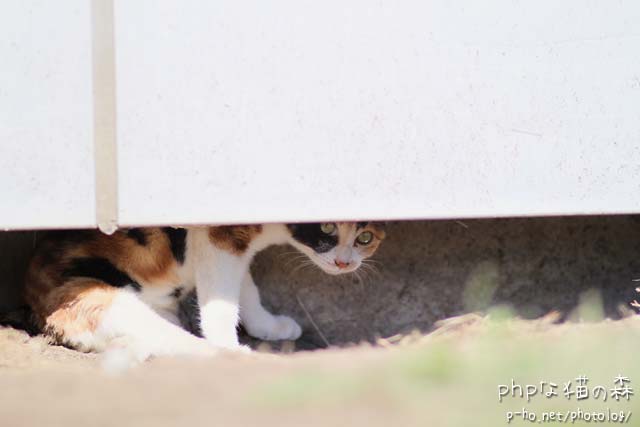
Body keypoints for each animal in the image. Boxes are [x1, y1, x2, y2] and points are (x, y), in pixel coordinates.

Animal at [24, 222, 385, 360]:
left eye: (365, 237)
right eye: (326, 227)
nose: (343, 263)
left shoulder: (234, 249)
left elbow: (245, 289)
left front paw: (269, 326)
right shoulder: (217, 239)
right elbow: (222, 303)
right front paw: (230, 339)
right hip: (104, 299)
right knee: (178, 341)